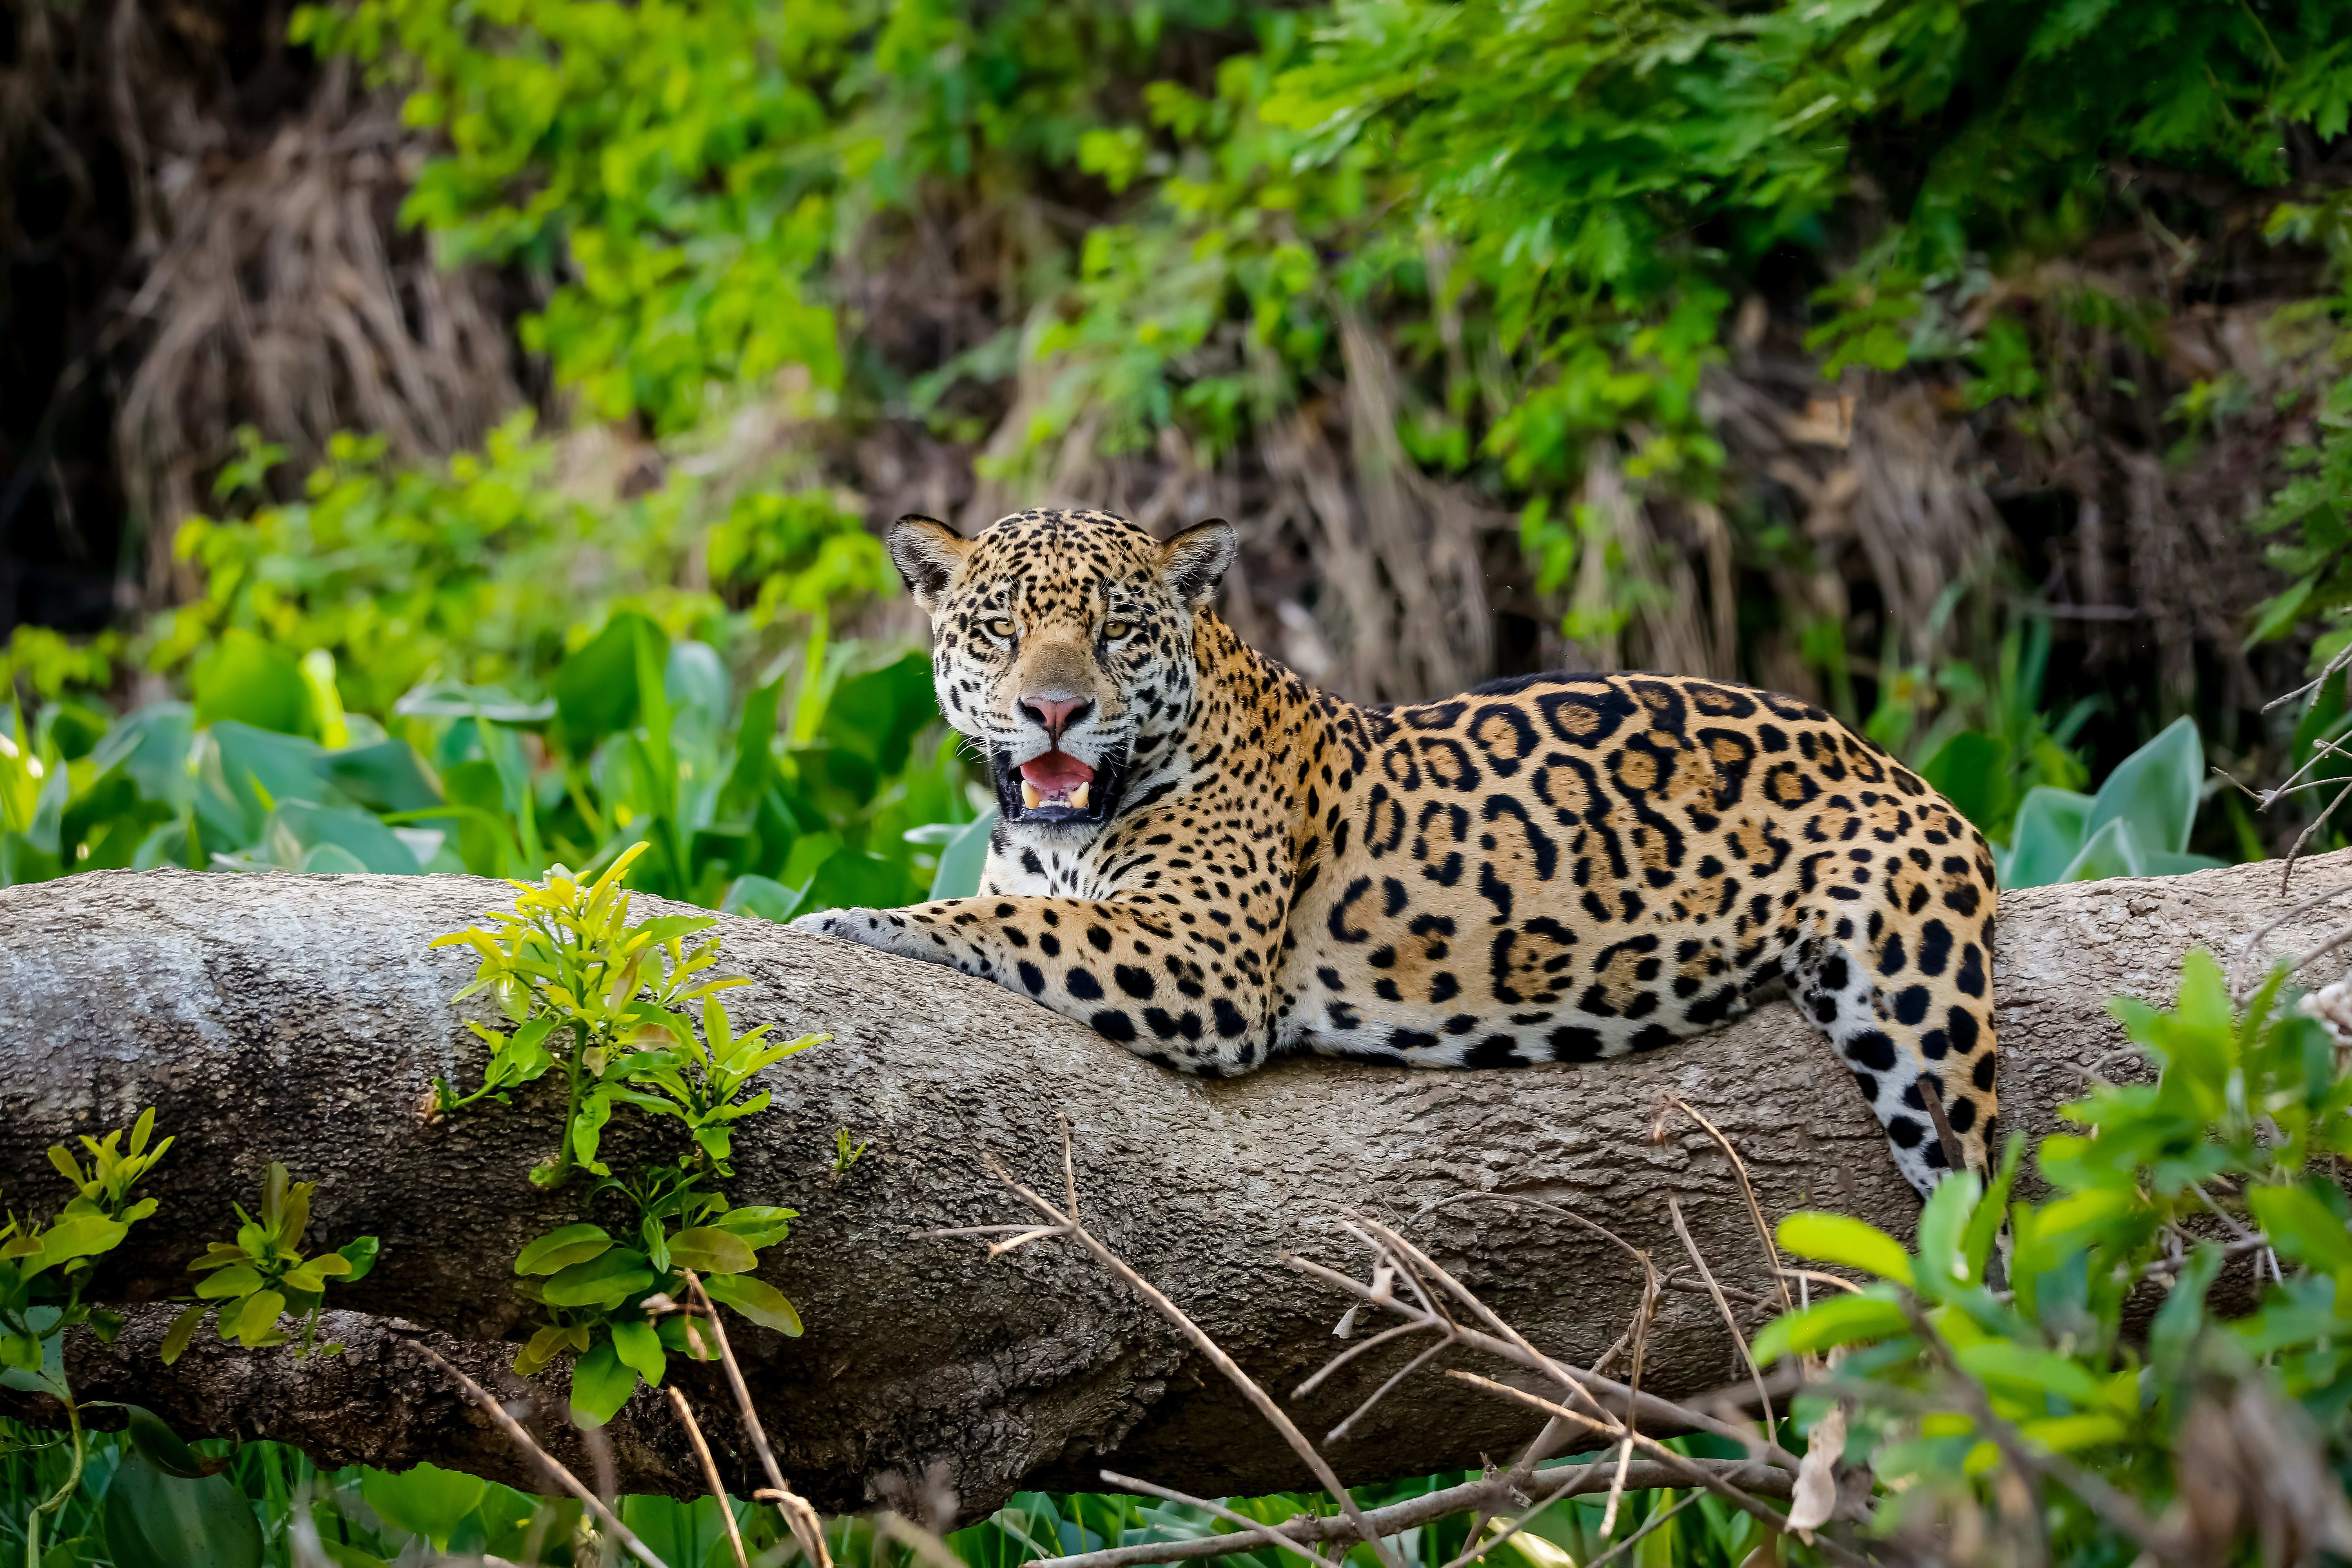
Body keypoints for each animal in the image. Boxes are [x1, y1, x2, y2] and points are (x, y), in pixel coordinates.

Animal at [791, 507, 2001, 1197]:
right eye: (999, 629)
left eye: (1116, 633)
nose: (1053, 712)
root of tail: (1898, 763)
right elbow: (1013, 904)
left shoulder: (1203, 961)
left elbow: (1009, 919)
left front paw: (850, 919)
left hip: (1920, 1017)